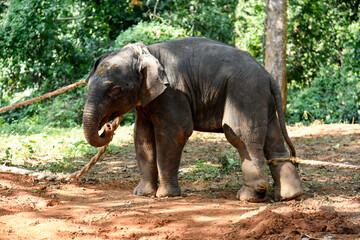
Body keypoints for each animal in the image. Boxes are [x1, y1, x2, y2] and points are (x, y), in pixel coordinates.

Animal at [83, 37, 302, 202]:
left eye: (115, 90)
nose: (108, 127)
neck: (148, 52)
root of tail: (267, 74)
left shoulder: (173, 93)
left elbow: (176, 131)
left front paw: (166, 195)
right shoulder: (148, 100)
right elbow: (142, 136)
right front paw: (142, 194)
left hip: (246, 94)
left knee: (240, 136)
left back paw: (248, 197)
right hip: (262, 100)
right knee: (273, 140)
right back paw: (289, 196)